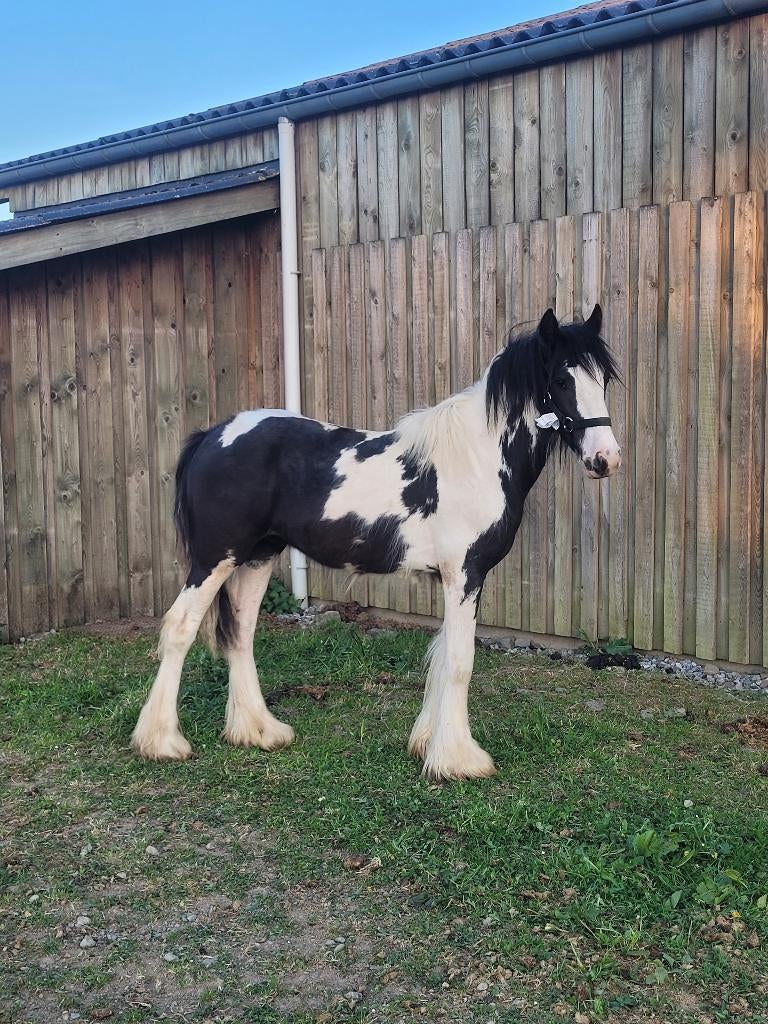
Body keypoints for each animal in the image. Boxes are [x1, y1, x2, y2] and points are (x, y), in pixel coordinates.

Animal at [131, 304, 621, 781]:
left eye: (603, 379)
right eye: (561, 380)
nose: (606, 459)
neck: (476, 458)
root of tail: (211, 437)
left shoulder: (454, 578)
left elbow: (441, 657)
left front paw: (428, 746)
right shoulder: (465, 574)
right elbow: (460, 661)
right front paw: (459, 761)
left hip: (257, 557)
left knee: (241, 634)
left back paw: (258, 731)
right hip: (215, 559)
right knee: (180, 629)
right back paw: (161, 741)